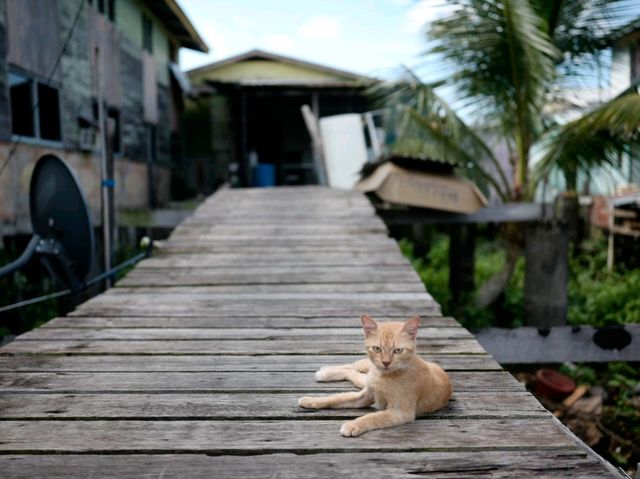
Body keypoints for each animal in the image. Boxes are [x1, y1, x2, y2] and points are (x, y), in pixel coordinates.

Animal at [298, 316, 452, 438]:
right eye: (377, 349)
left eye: (398, 350)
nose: (385, 362)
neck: (383, 376)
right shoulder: (364, 395)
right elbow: (336, 398)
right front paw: (311, 400)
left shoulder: (400, 412)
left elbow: (373, 417)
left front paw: (353, 425)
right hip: (366, 374)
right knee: (355, 366)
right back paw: (326, 371)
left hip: (364, 380)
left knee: (354, 372)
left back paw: (325, 372)